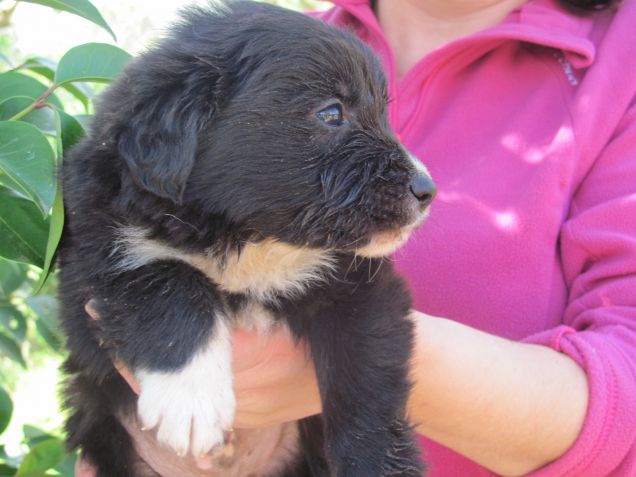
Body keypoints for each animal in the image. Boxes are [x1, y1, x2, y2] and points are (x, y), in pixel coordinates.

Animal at [58, 1, 432, 474]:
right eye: (331, 113)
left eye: (382, 112)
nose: (427, 190)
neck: (251, 239)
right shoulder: (97, 261)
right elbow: (169, 282)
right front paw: (191, 401)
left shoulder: (359, 285)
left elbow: (366, 379)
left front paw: (376, 462)